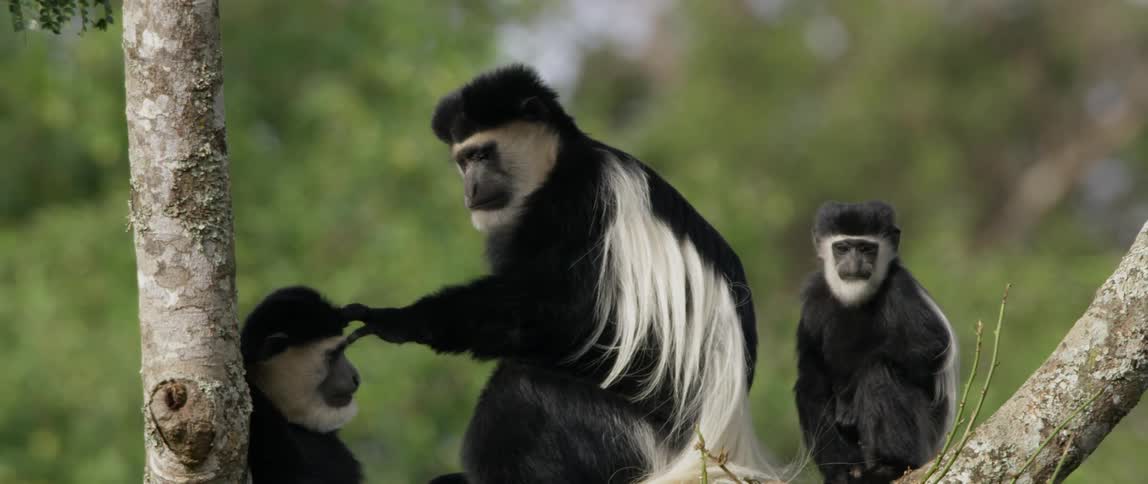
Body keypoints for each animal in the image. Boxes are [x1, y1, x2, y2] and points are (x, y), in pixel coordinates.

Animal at [341, 64, 772, 483]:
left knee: (520, 389)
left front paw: (400, 319)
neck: (555, 169)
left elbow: (572, 313)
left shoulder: (583, 200)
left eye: (483, 155)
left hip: (631, 437)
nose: (470, 189)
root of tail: (716, 446)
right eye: (463, 161)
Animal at [793, 201, 958, 484]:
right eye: (842, 248)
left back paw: (890, 467)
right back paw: (843, 473)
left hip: (923, 437)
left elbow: (931, 347)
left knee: (878, 372)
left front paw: (849, 396)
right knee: (809, 389)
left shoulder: (901, 288)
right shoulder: (814, 299)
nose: (854, 263)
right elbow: (811, 371)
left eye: (867, 248)